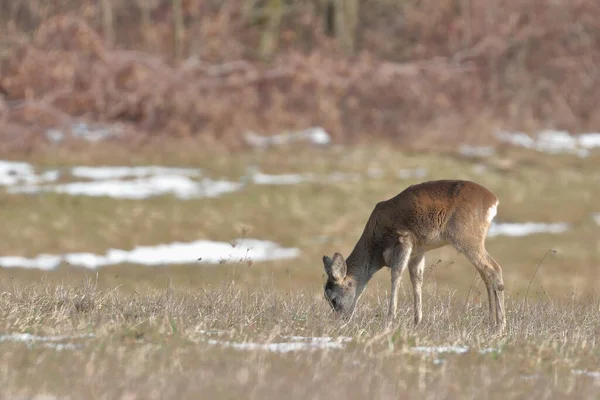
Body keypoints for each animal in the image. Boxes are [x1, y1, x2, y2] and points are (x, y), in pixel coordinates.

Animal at [324, 180, 506, 332]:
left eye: (333, 299)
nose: (341, 320)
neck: (375, 248)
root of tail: (493, 201)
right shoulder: (418, 251)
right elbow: (416, 279)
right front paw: (417, 322)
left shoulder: (404, 240)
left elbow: (396, 275)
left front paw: (389, 322)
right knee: (486, 274)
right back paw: (491, 323)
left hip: (467, 238)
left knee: (495, 268)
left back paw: (500, 327)